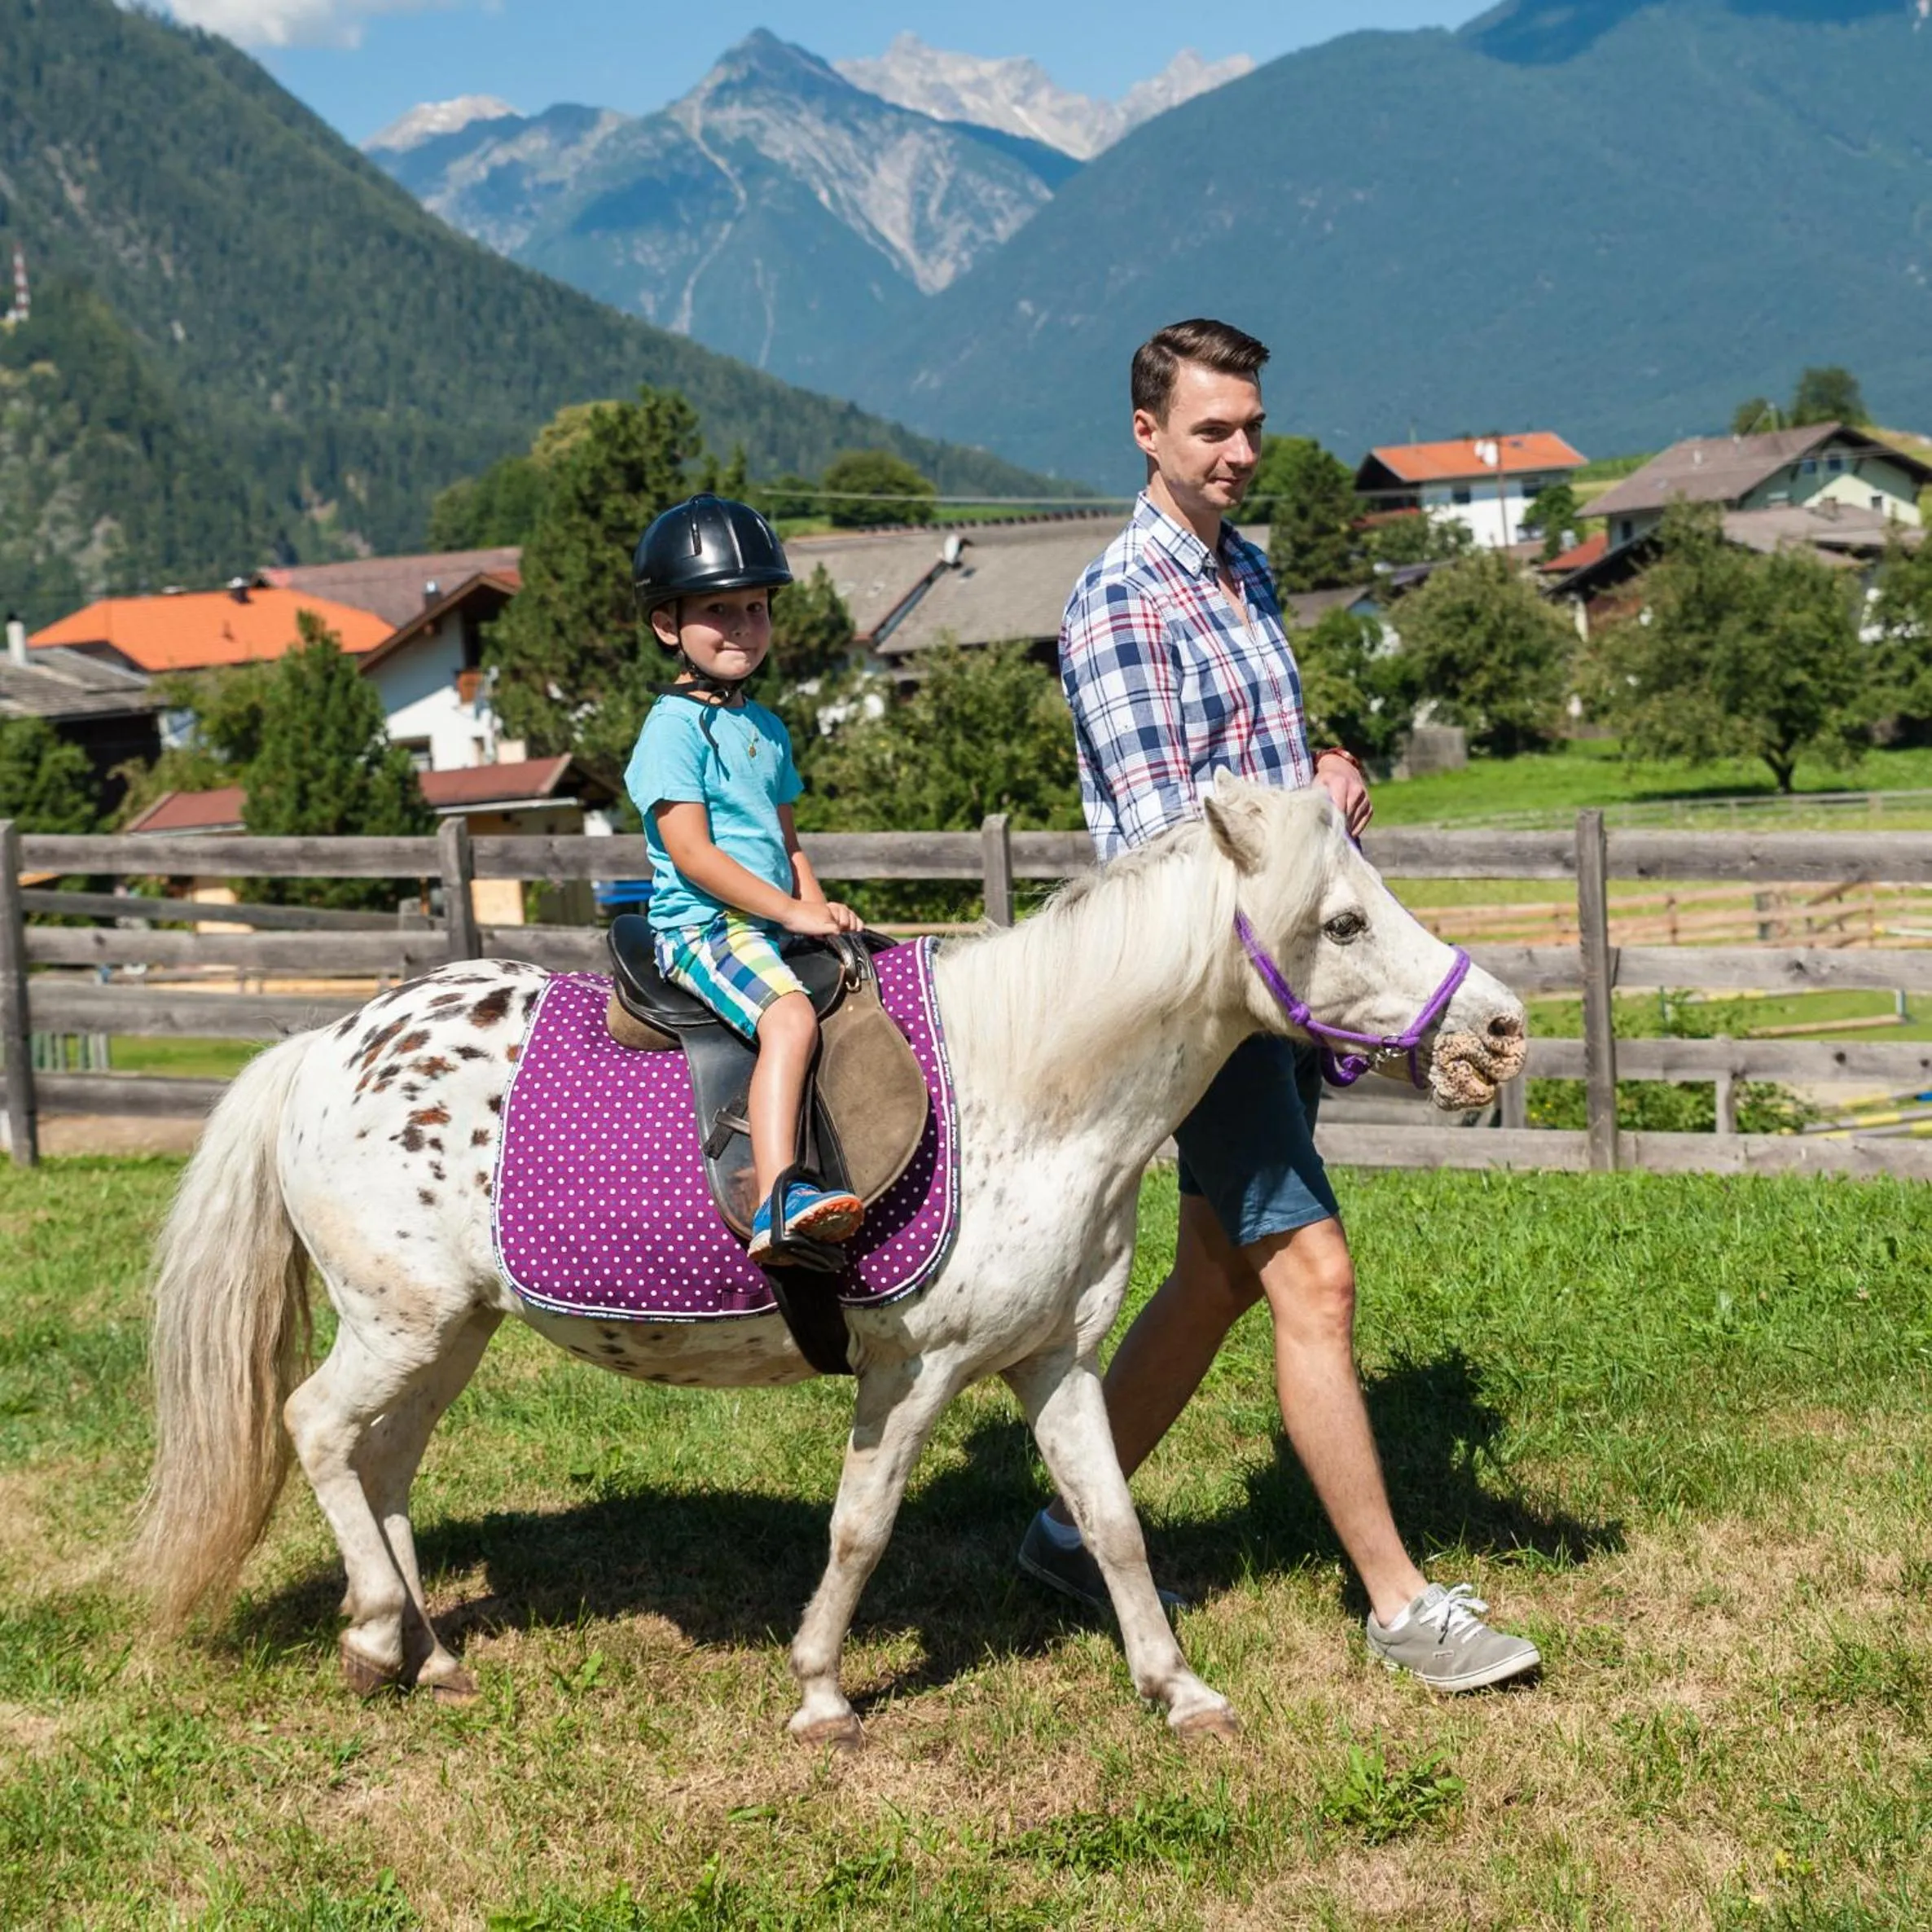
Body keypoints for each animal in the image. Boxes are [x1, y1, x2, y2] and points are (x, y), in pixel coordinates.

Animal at [132, 777, 1527, 1746]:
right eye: (1342, 920)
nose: (1503, 1028)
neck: (1026, 1090)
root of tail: (321, 1048)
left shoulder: (1055, 1363)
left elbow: (1112, 1524)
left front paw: (1177, 1691)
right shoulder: (912, 1374)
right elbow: (860, 1529)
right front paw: (819, 1692)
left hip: (447, 1331)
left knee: (384, 1466)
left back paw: (428, 1654)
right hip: (400, 1323)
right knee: (318, 1430)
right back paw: (376, 1638)